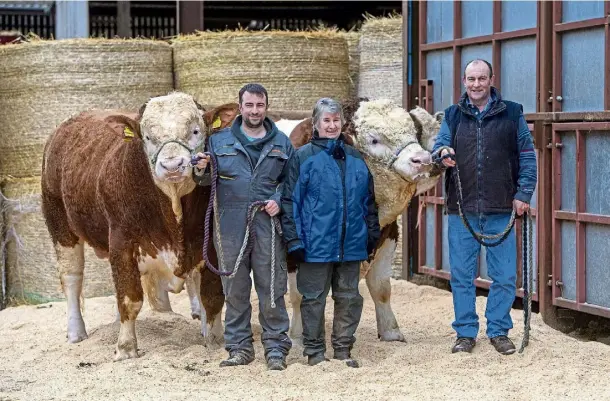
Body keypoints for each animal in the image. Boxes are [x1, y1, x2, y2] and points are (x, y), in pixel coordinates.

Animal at [39, 91, 230, 360]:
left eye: (195, 131)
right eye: (148, 137)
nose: (172, 166)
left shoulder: (209, 242)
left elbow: (211, 297)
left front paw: (214, 342)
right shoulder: (122, 243)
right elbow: (129, 299)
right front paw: (126, 348)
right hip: (59, 225)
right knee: (72, 278)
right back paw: (76, 333)